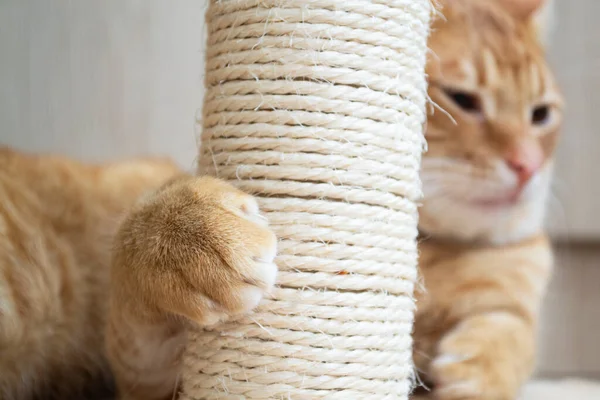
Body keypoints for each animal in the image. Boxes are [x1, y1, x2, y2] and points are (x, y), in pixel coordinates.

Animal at [412, 0, 564, 400]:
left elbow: (512, 332)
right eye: (462, 99)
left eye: (540, 114)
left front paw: (475, 373)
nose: (528, 165)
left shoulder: (514, 302)